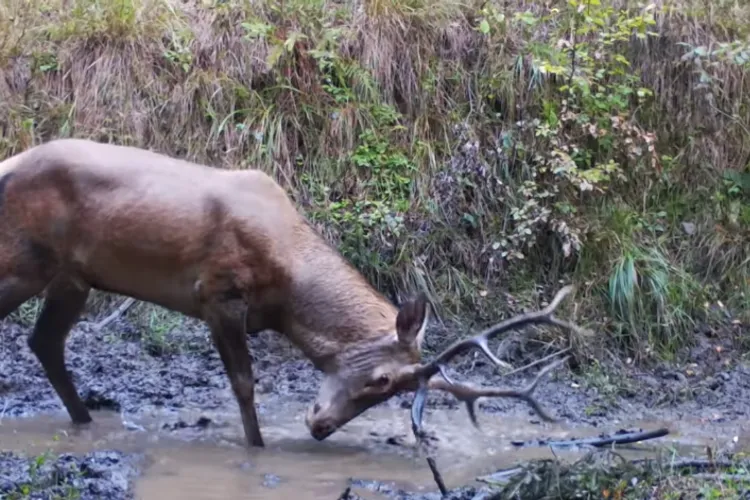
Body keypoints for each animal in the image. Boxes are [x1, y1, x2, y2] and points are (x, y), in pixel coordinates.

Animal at [0, 138, 588, 450]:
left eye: (394, 391)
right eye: (383, 380)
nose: (321, 427)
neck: (287, 295)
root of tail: (9, 164)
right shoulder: (218, 291)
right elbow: (243, 383)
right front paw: (257, 448)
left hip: (73, 277)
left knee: (45, 342)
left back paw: (84, 421)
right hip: (24, 258)